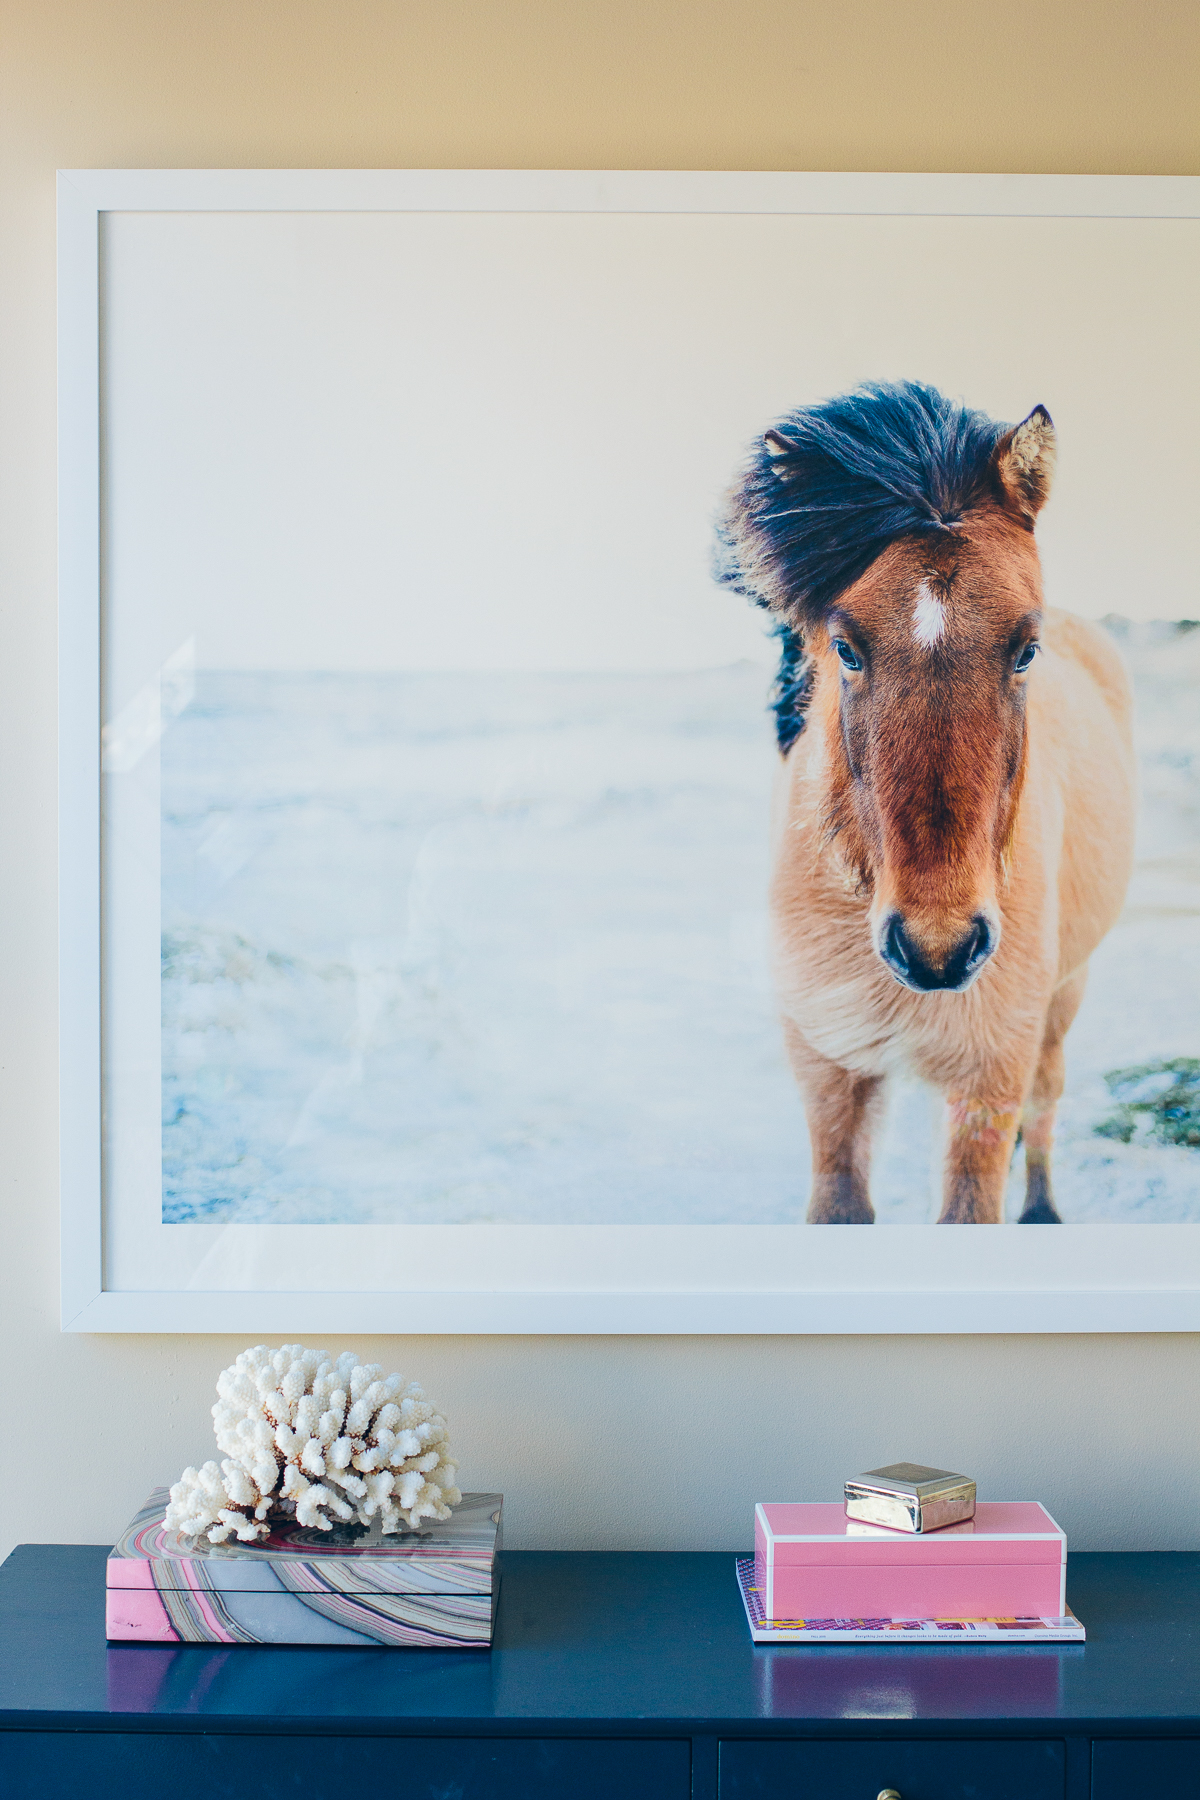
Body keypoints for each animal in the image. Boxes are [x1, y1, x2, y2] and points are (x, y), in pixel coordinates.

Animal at [717, 381, 1136, 1224]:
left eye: (1026, 649)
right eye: (844, 648)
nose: (937, 949)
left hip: (1061, 1001)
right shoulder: (831, 1080)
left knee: (1047, 1099)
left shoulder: (989, 1079)